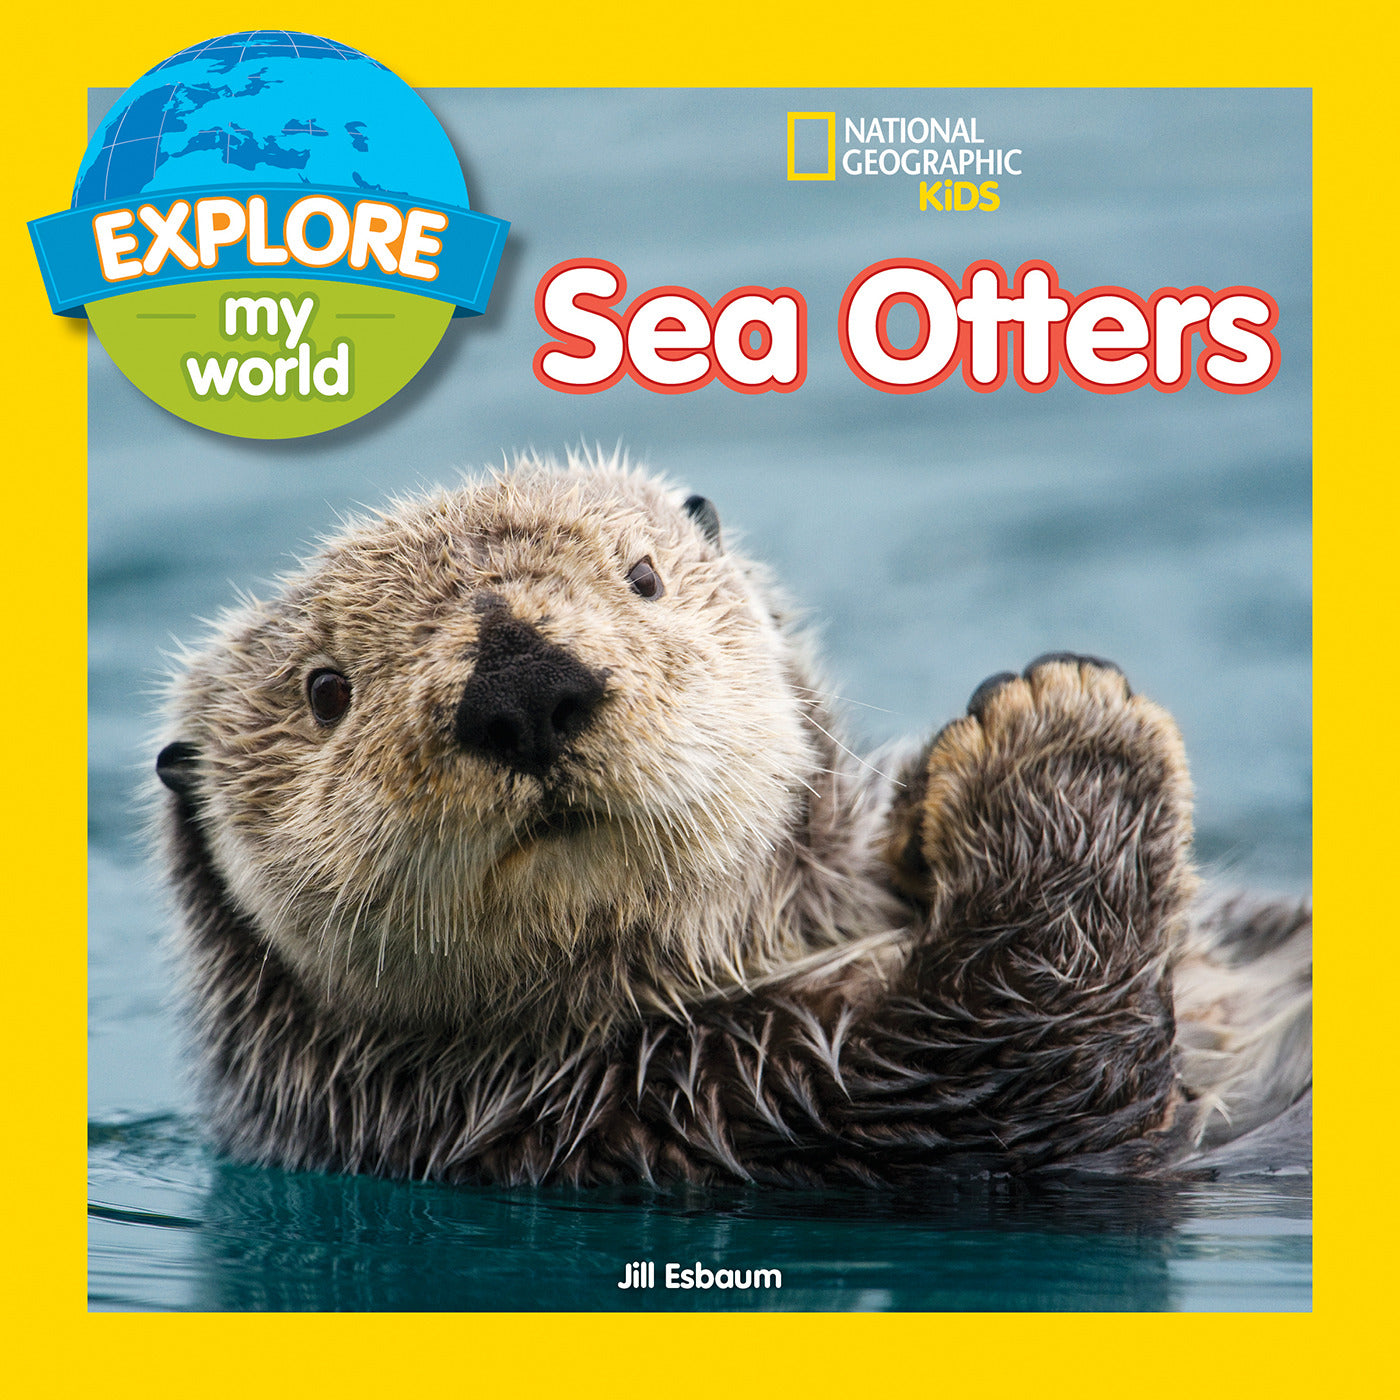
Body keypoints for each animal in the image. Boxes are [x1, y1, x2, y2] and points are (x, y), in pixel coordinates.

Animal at [155, 453, 1311, 1187]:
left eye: (643, 576)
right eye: (326, 690)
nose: (521, 686)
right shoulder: (762, 1116)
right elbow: (1052, 1054)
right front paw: (1058, 720)